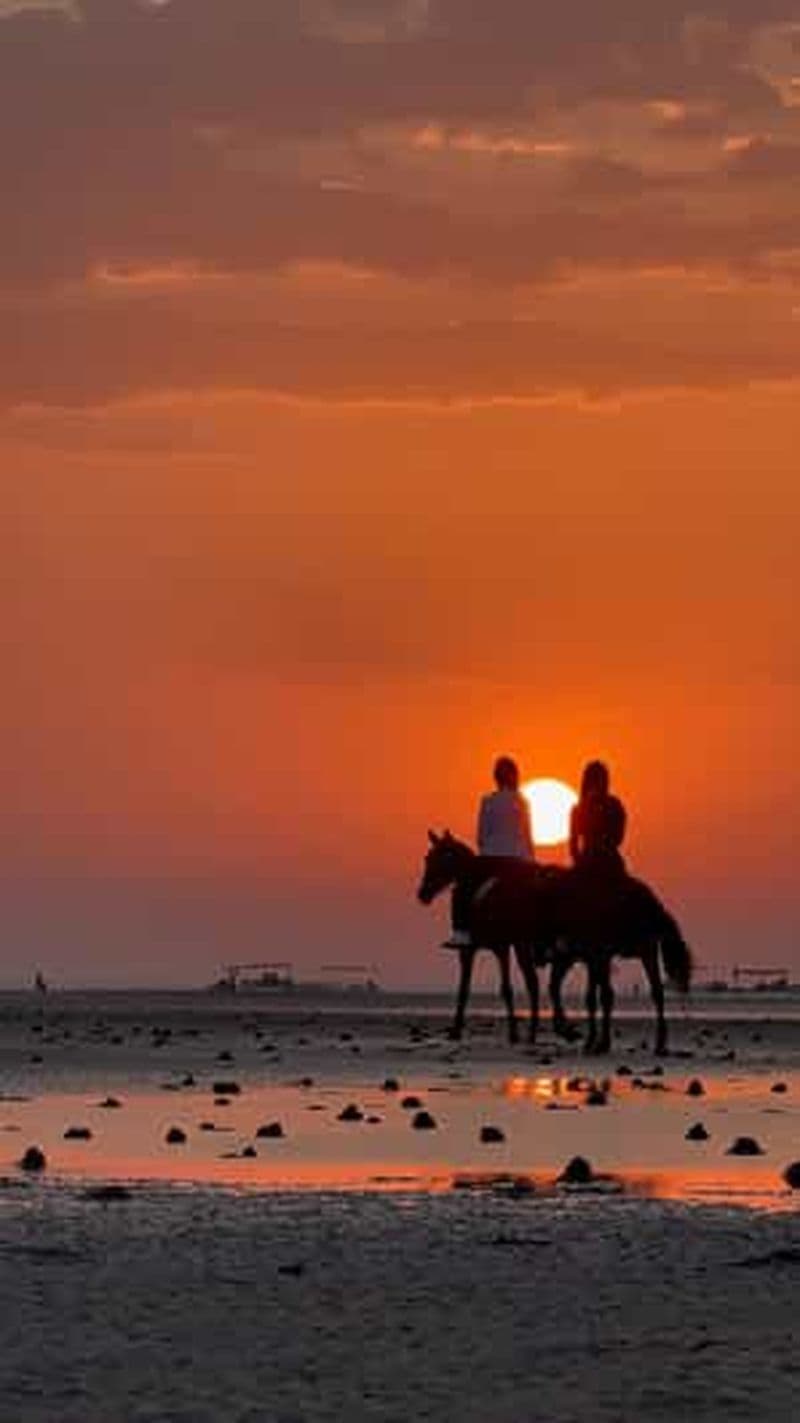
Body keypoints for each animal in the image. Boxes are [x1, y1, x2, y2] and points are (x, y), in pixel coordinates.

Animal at [417, 831, 692, 1053]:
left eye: (433, 858)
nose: (422, 894)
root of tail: (646, 899)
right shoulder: (516, 948)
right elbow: (519, 988)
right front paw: (531, 1031)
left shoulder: (507, 947)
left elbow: (516, 986)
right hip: (642, 950)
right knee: (654, 992)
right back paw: (655, 1042)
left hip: (601, 953)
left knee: (604, 993)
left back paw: (598, 1041)